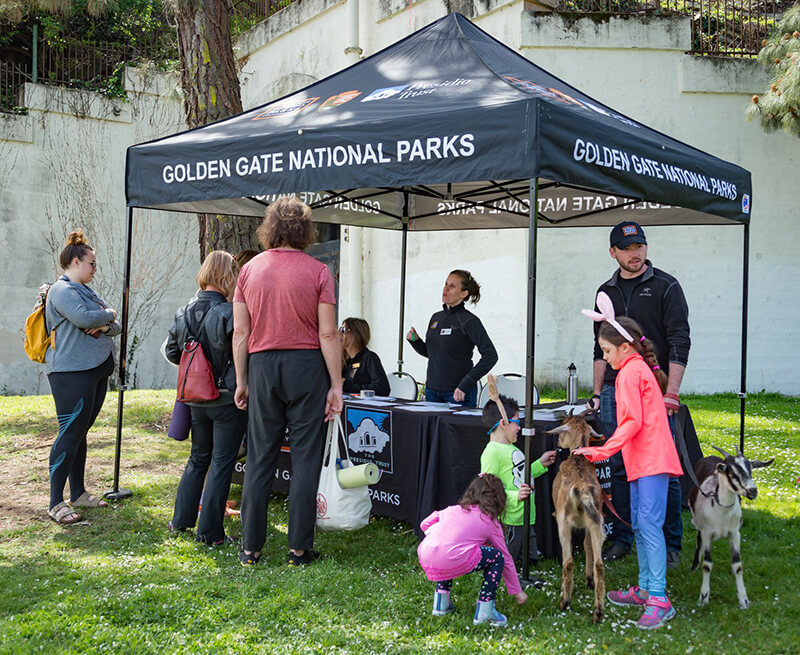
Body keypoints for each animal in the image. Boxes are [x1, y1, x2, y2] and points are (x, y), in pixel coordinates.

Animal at [552, 412, 608, 624]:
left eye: (563, 426)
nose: (558, 441)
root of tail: (582, 490)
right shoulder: (589, 524)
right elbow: (587, 545)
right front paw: (588, 579)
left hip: (564, 523)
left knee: (568, 562)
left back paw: (564, 601)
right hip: (597, 522)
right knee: (600, 564)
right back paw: (598, 610)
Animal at [692, 446, 772, 608]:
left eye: (751, 469)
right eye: (733, 474)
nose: (753, 491)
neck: (722, 511)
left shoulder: (735, 533)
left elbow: (738, 565)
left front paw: (744, 600)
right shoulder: (707, 533)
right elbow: (707, 565)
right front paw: (703, 597)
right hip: (698, 523)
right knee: (698, 541)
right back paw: (695, 564)